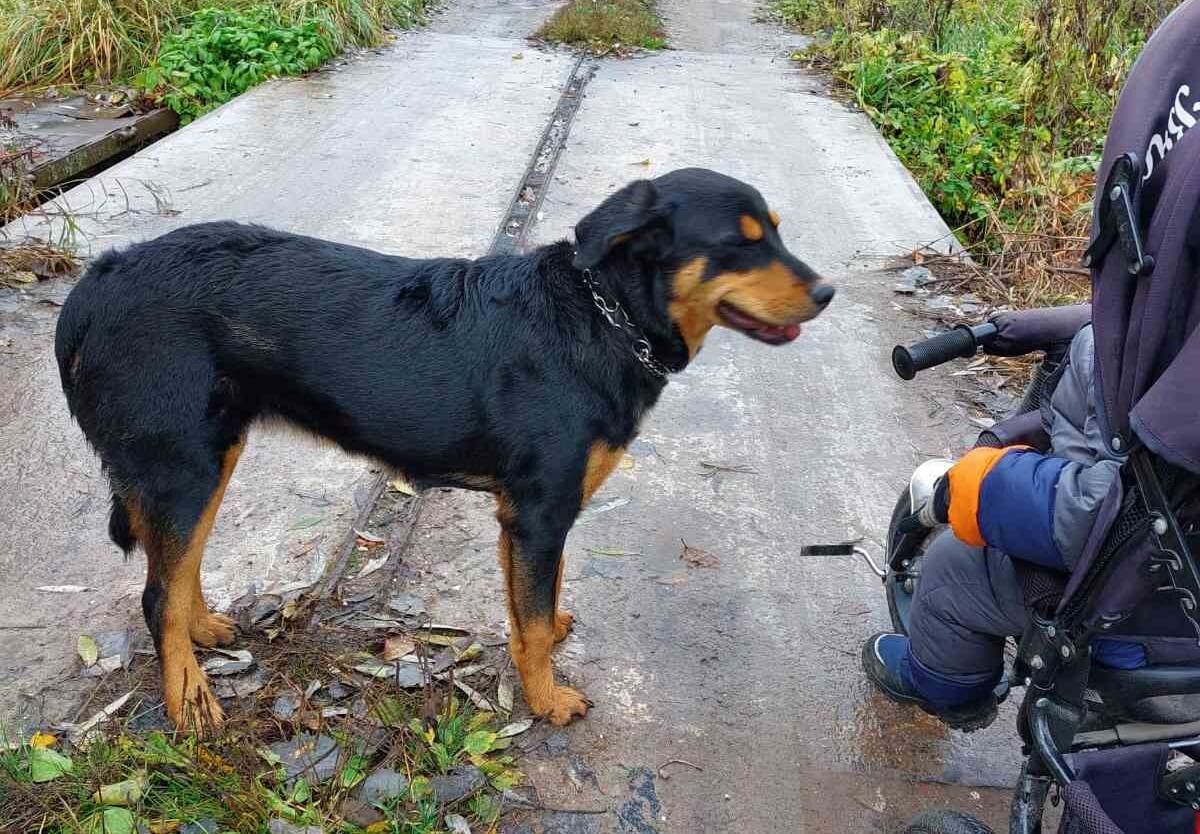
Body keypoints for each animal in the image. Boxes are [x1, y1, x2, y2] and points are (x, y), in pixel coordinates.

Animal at [56, 168, 835, 729]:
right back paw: (189, 699)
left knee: (176, 572)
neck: (603, 319)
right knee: (156, 595)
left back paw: (204, 631)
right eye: (740, 242)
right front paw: (547, 702)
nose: (828, 292)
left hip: (204, 457)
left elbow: (537, 608)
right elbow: (528, 625)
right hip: (182, 464)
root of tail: (97, 281)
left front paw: (547, 644)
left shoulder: (528, 519)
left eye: (775, 233)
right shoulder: (539, 515)